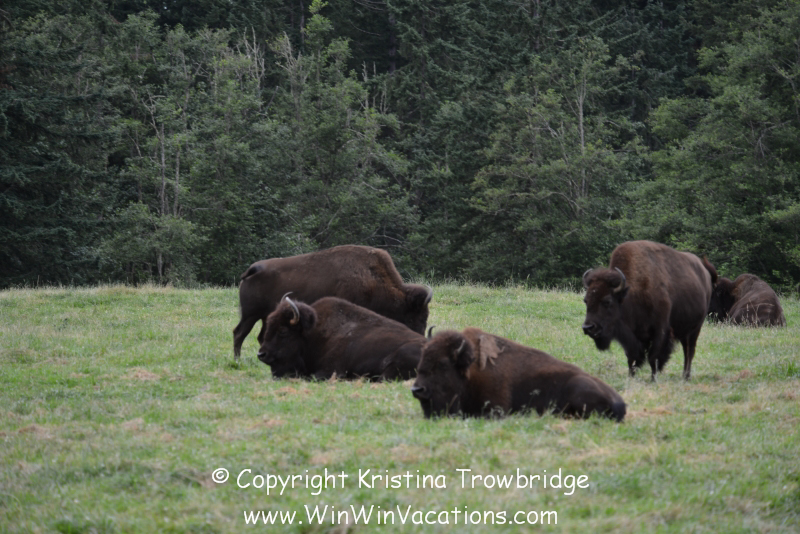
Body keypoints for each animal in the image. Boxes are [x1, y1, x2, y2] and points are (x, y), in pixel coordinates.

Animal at [233, 245, 433, 360]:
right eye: (415, 317)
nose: (421, 341)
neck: (372, 278)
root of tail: (253, 269)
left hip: (265, 316)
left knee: (259, 336)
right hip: (250, 315)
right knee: (239, 333)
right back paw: (237, 360)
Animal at [410, 328, 626, 421]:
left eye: (443, 364)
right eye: (422, 358)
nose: (417, 389)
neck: (469, 372)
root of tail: (619, 401)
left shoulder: (496, 409)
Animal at [581, 240, 717, 380]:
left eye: (607, 301)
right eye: (585, 300)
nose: (588, 327)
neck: (631, 292)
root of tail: (704, 271)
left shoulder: (660, 331)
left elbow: (653, 358)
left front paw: (653, 379)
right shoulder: (632, 337)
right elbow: (631, 358)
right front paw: (631, 376)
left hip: (696, 328)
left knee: (689, 351)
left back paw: (686, 376)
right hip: (684, 330)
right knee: (686, 348)